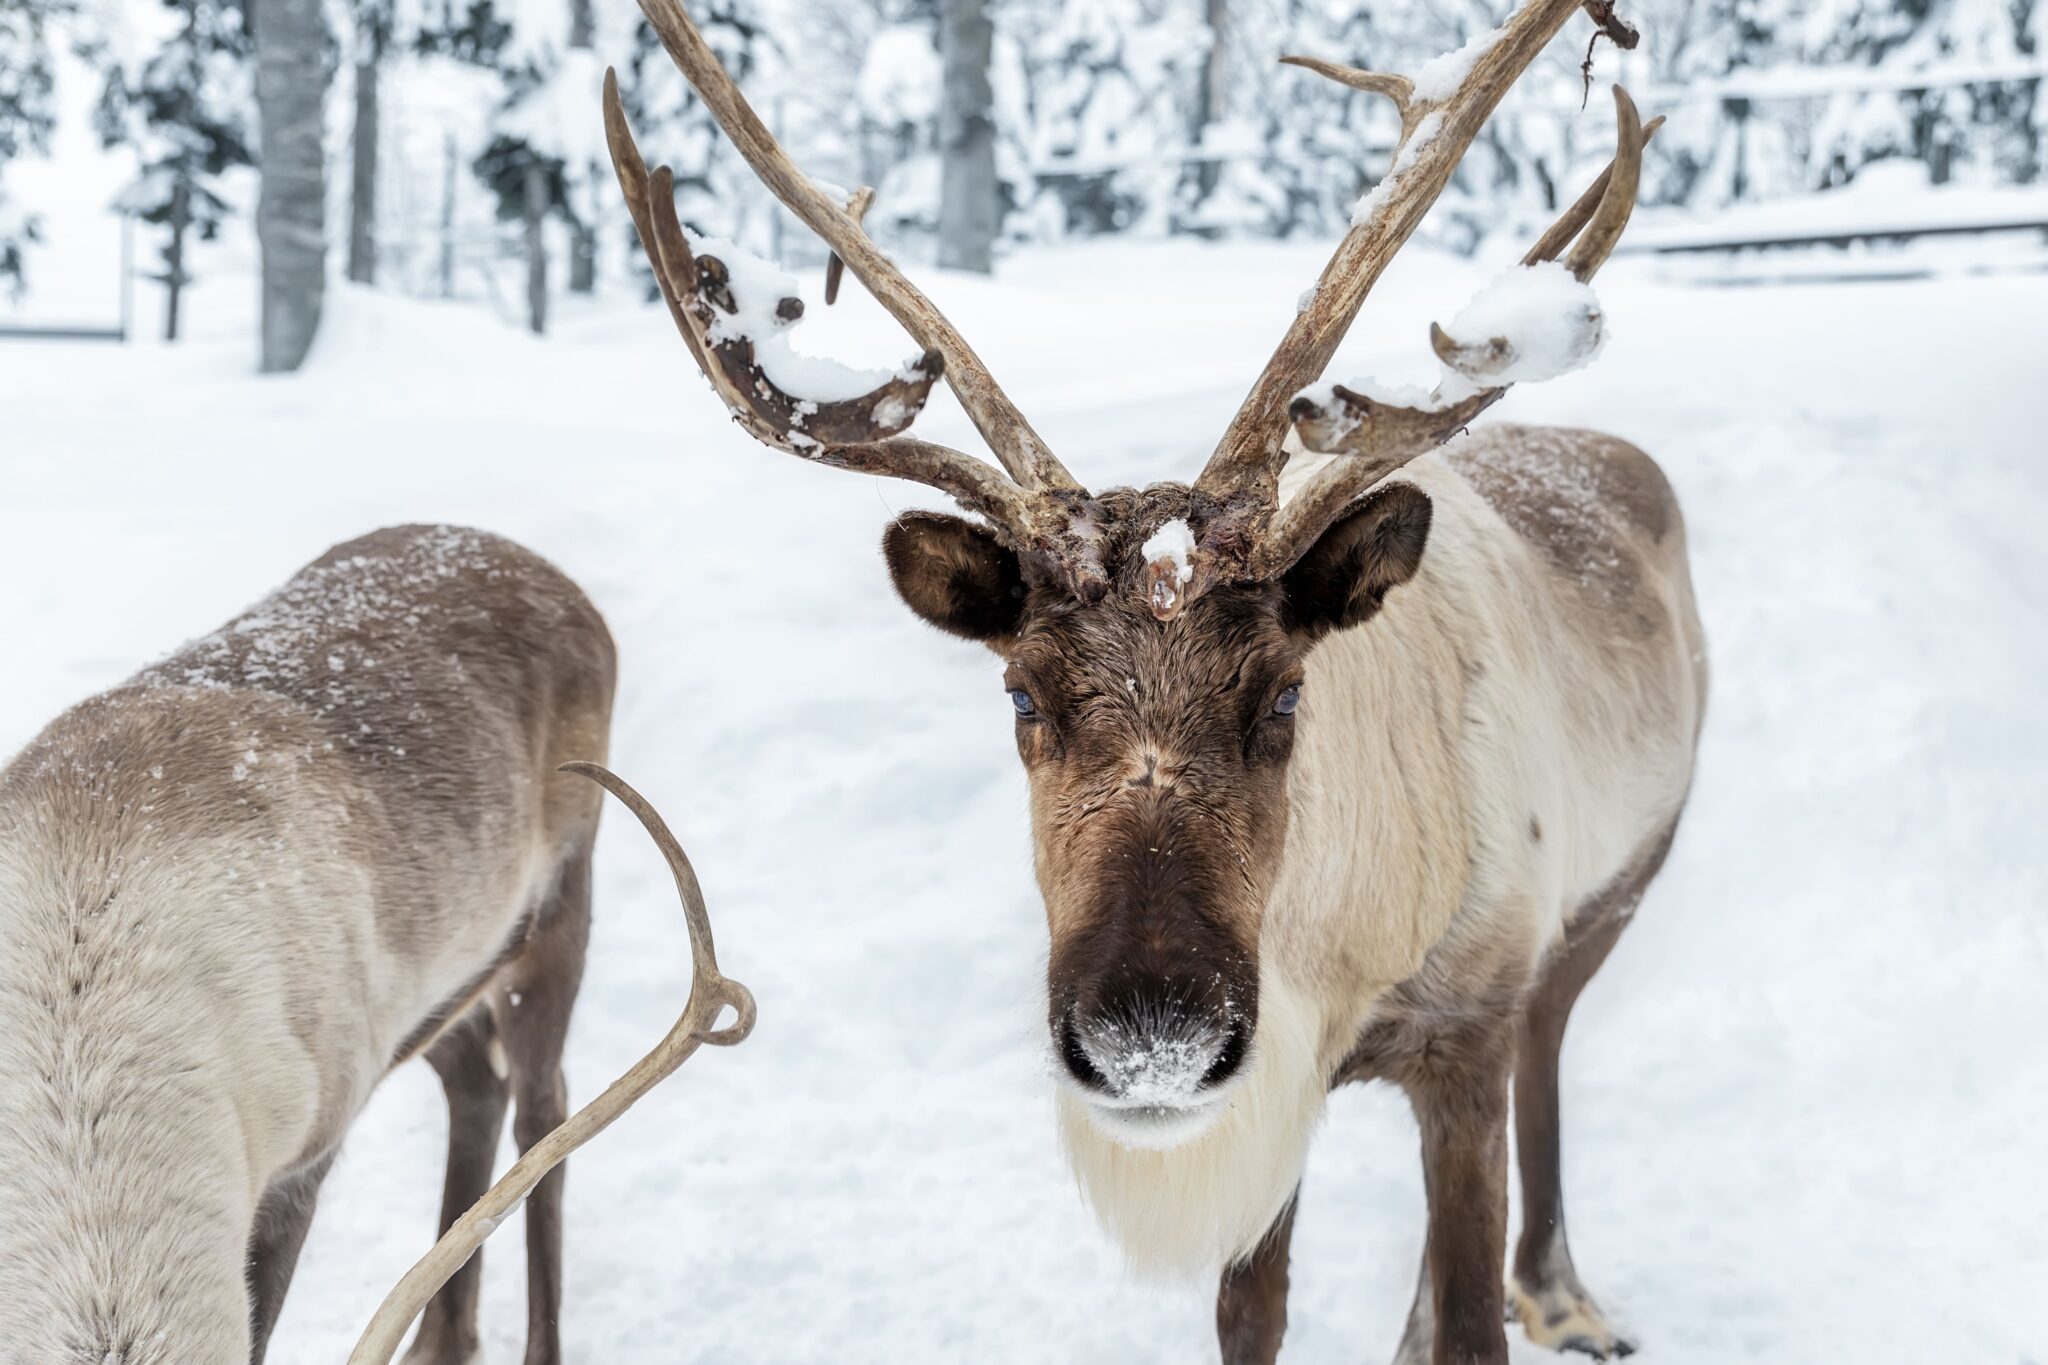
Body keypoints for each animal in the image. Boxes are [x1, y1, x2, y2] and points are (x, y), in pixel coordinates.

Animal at [0, 525, 616, 1365]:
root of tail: (541, 568)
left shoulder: (302, 1158)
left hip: (558, 905)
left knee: (542, 1109)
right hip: (432, 987)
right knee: (477, 1087)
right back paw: (440, 1339)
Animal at [606, 0, 1704, 1359]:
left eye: (1284, 694)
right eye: (1019, 695)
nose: (1149, 1036)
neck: (1336, 972)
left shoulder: (1465, 1026)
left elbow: (1468, 1307)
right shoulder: (1262, 1110)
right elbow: (1254, 1310)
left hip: (1616, 886)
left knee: (1549, 1047)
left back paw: (1556, 1290)